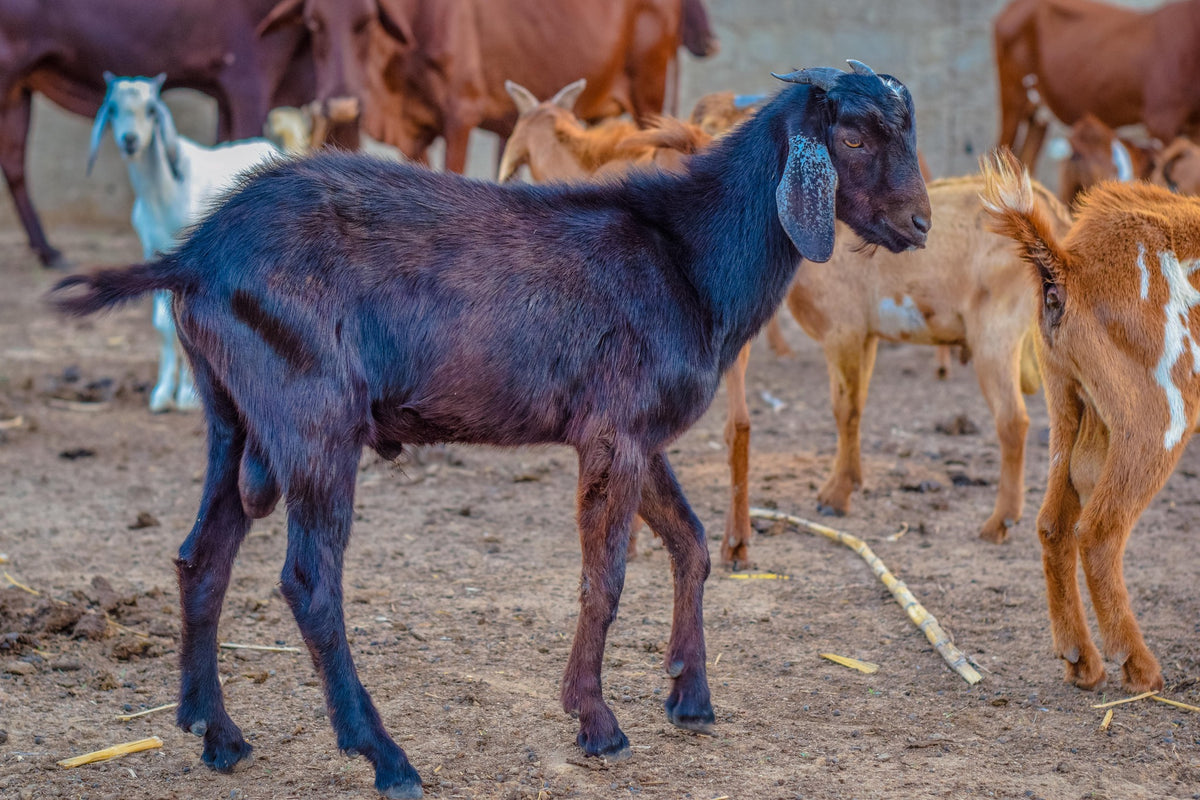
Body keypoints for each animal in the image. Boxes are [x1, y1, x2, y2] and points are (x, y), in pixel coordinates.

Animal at [88, 73, 281, 413]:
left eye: (151, 110)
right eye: (112, 109)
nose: (130, 140)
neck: (163, 193)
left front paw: (189, 396)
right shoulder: (153, 252)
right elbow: (162, 324)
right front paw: (162, 394)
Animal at [720, 171, 1066, 566]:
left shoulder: (843, 330)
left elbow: (843, 408)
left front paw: (836, 496)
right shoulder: (867, 335)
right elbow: (856, 405)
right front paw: (852, 480)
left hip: (996, 334)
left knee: (1012, 422)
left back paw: (1000, 522)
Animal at [980, 147, 1200, 693]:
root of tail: (1068, 267)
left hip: (1068, 402)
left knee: (1054, 524)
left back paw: (1082, 660)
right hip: (1156, 419)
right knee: (1098, 531)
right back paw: (1138, 666)